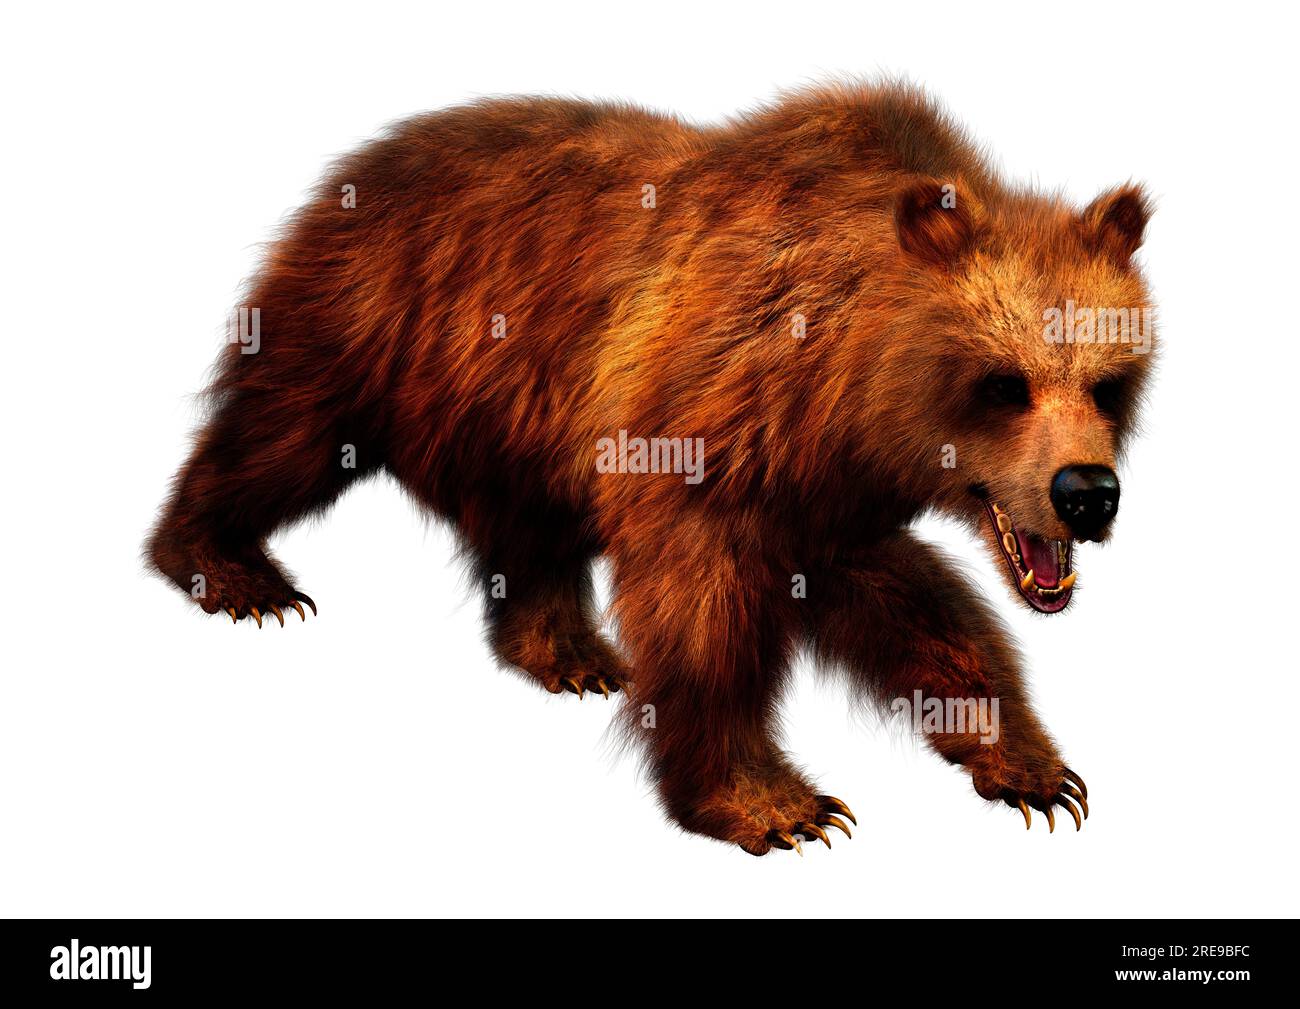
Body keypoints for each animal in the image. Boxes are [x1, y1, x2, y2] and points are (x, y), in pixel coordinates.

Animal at [148, 80, 1153, 854]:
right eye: (1004, 382)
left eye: (1109, 383)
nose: (1087, 493)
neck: (842, 375)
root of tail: (358, 163)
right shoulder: (709, 421)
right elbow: (706, 614)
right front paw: (777, 805)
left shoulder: (825, 492)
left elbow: (922, 610)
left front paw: (1032, 769)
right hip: (377, 320)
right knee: (282, 436)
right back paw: (229, 569)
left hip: (512, 413)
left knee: (528, 528)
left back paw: (571, 651)